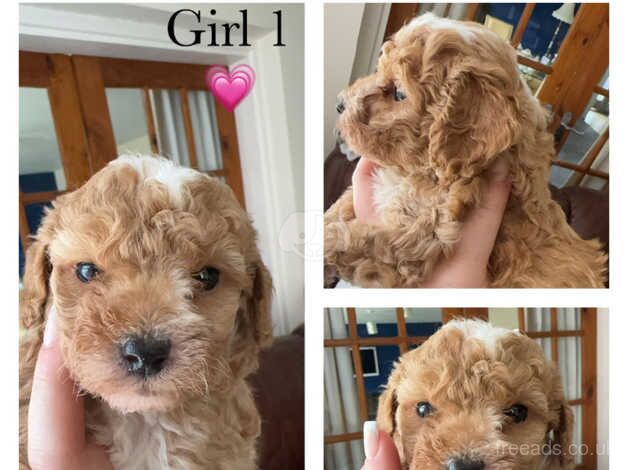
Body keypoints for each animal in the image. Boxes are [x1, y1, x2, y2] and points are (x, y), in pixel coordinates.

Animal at [326, 13, 604, 286]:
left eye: (399, 93)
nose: (339, 104)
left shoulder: (422, 237)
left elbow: (352, 240)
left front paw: (322, 240)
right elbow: (343, 204)